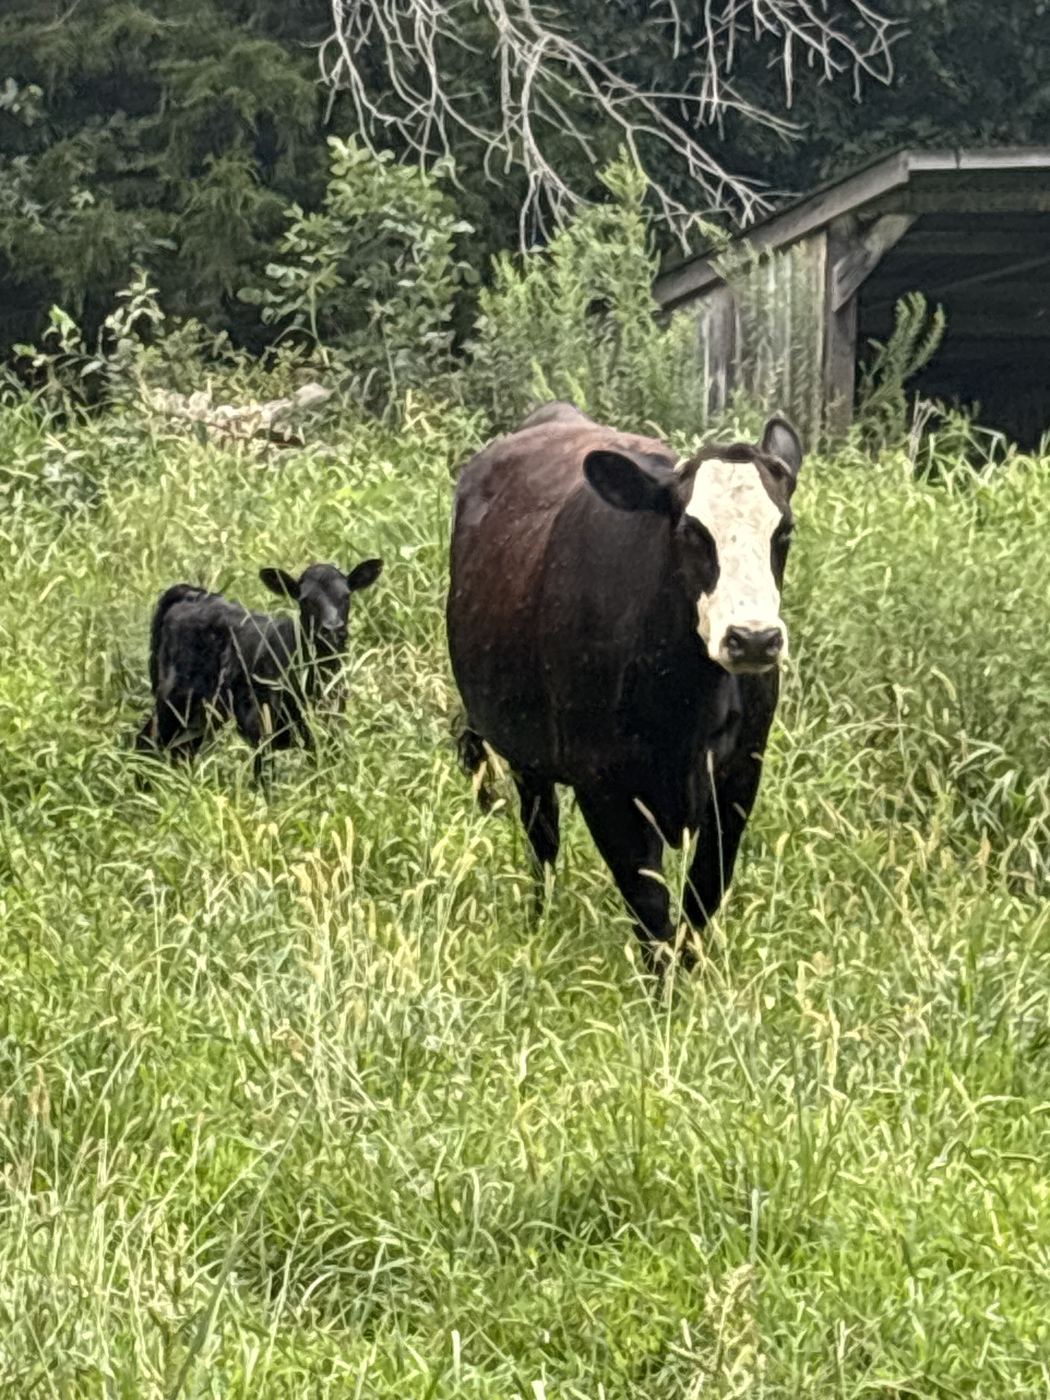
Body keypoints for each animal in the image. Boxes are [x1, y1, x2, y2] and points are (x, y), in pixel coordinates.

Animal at [135, 559, 383, 780]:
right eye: (305, 600)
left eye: (346, 596)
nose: (332, 629)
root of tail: (193, 595)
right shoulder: (262, 730)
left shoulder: (327, 731)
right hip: (174, 699)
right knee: (148, 741)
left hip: (201, 714)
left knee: (181, 751)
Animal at [446, 405, 803, 974]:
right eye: (691, 531)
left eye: (784, 530)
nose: (753, 638)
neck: (688, 702)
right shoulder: (605, 785)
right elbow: (650, 905)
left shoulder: (740, 777)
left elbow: (703, 893)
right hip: (525, 755)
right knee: (542, 838)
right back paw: (540, 921)